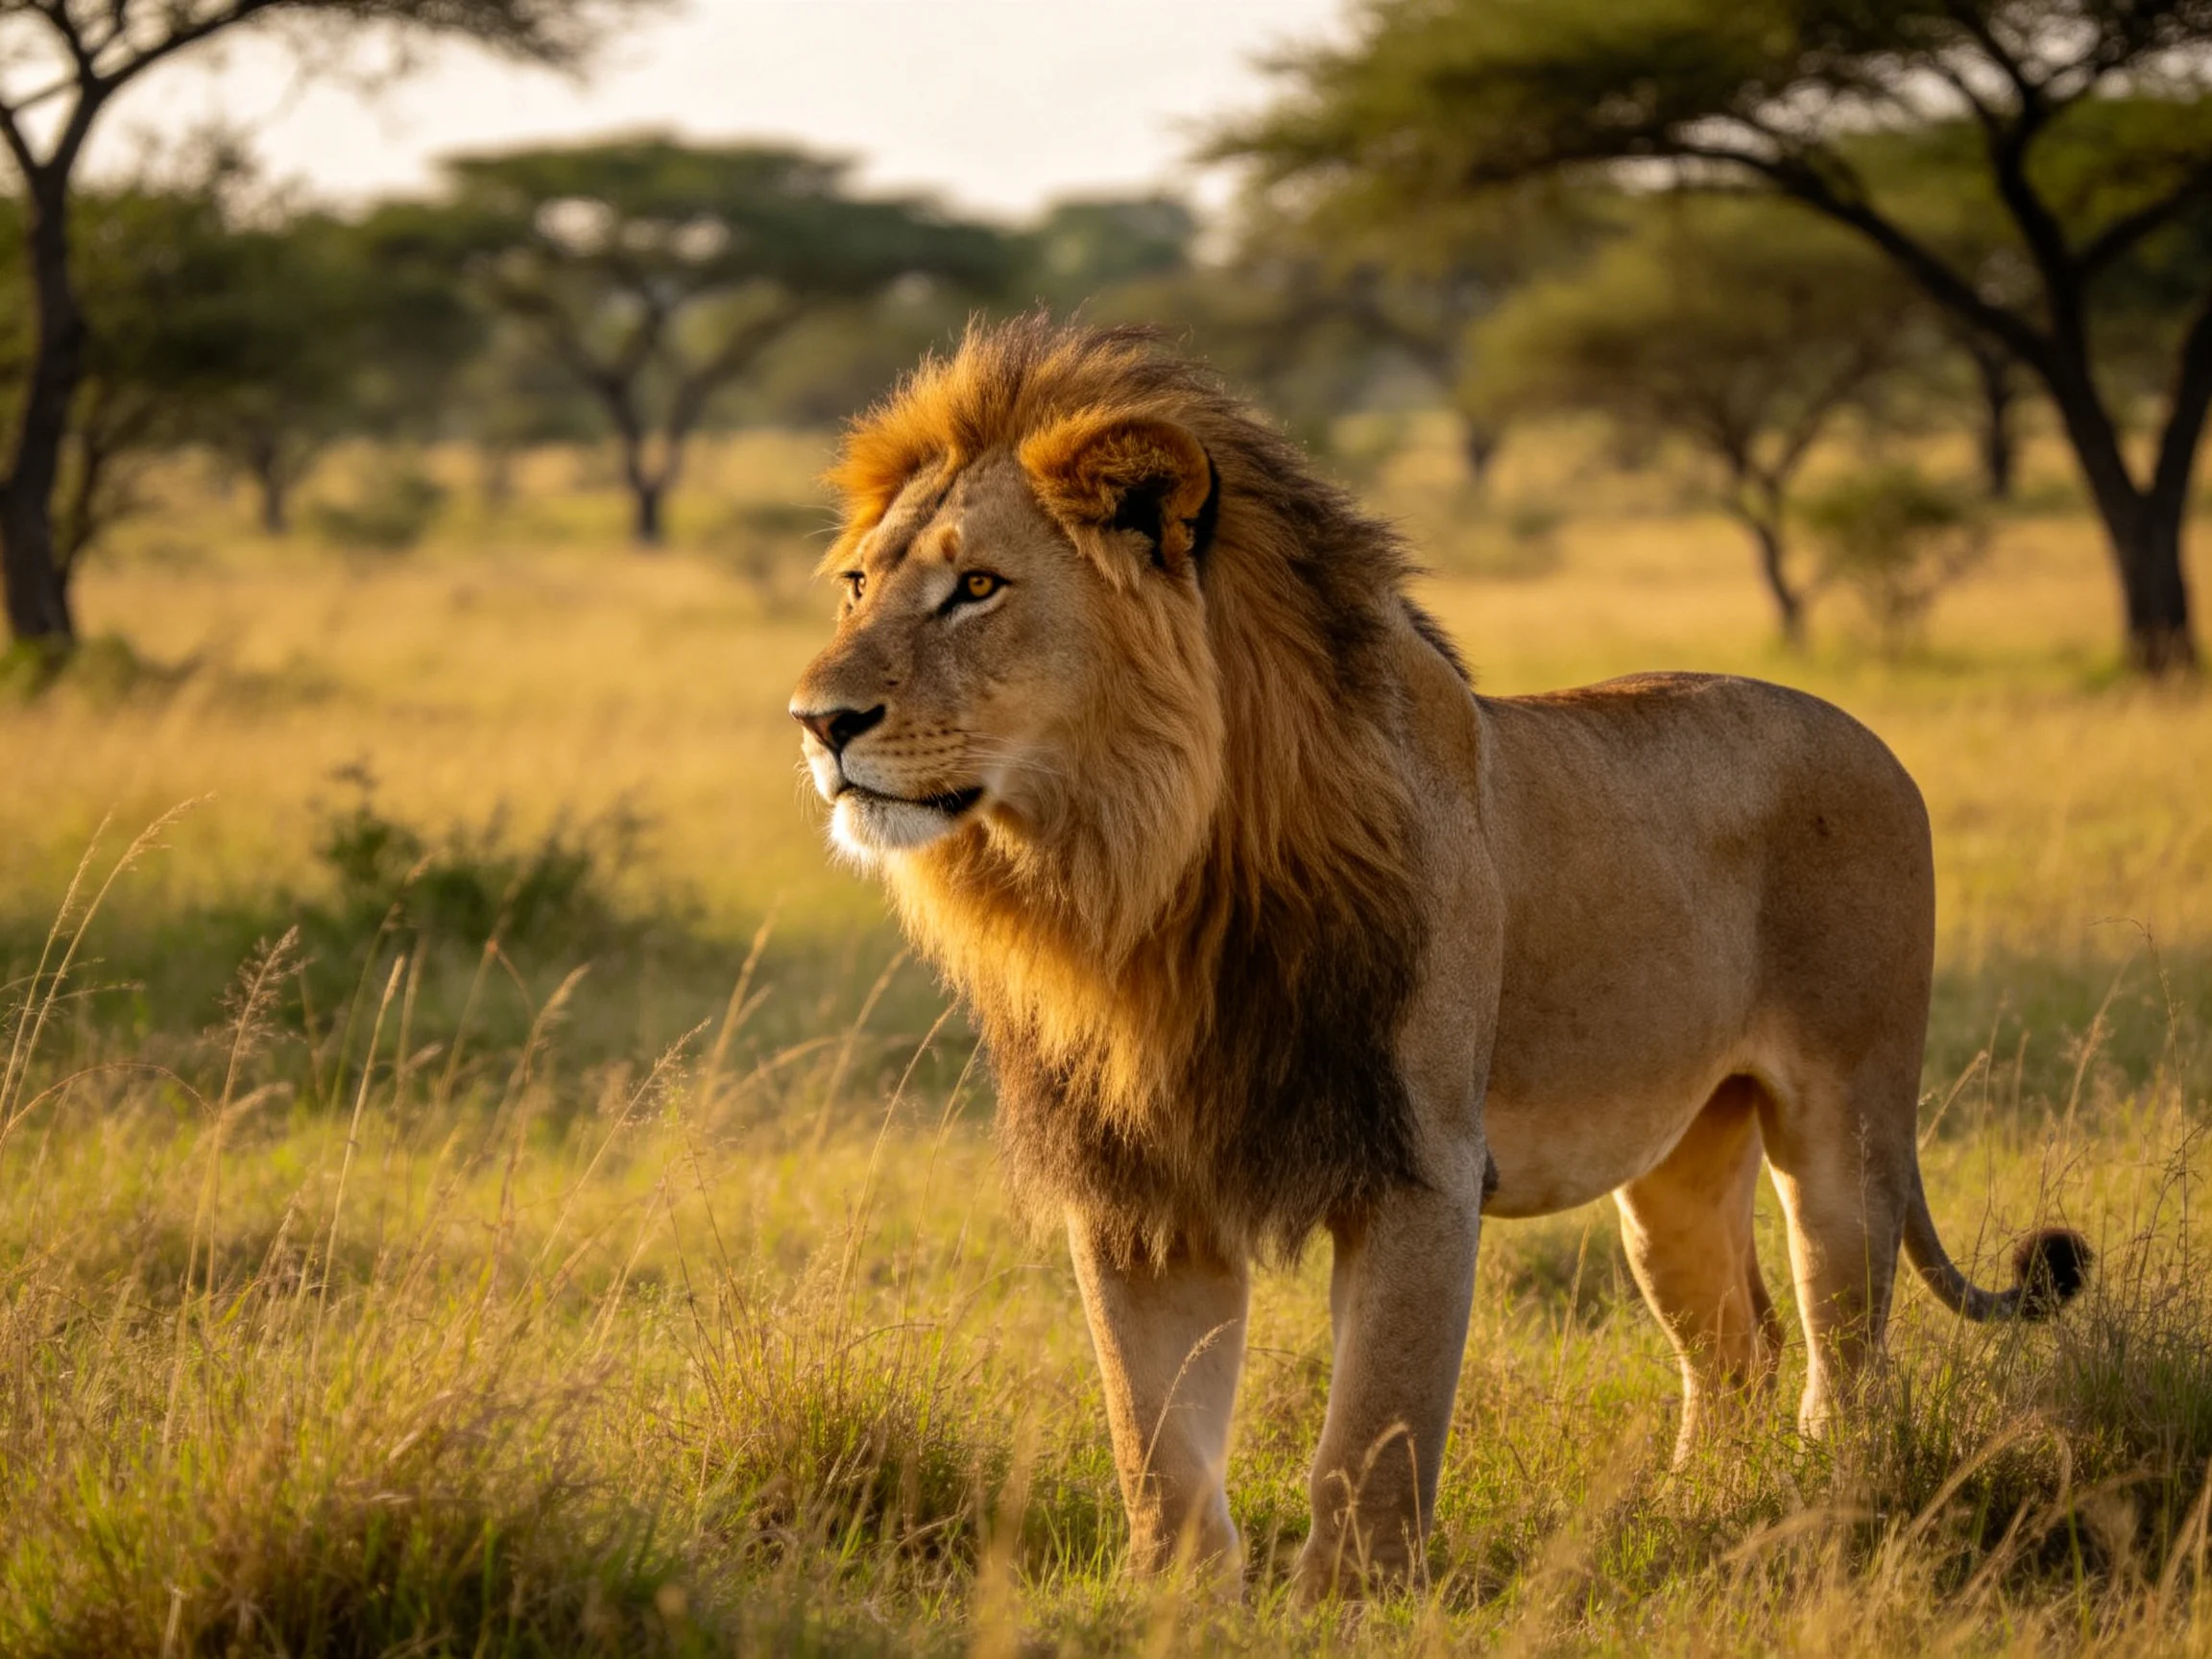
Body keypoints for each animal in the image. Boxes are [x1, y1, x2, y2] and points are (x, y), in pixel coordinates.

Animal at [787, 317, 2089, 1598]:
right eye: (857, 585)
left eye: (978, 587)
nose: (817, 721)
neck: (1145, 881)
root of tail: (1871, 737)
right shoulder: (1142, 1184)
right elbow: (1152, 1436)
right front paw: (1175, 1604)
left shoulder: (1421, 1163)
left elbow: (1375, 1427)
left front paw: (1353, 1605)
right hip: (1673, 1169)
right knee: (1739, 1354)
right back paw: (1695, 1517)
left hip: (1845, 1127)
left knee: (1845, 1358)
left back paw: (1827, 1518)